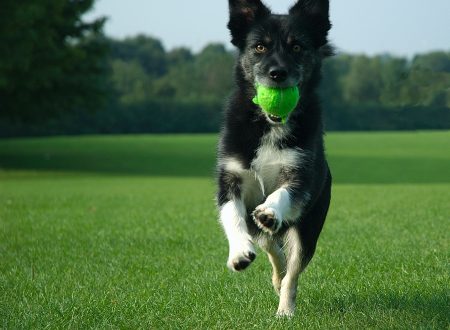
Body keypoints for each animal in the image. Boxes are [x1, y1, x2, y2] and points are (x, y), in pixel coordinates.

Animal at [216, 0, 332, 318]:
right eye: (259, 47)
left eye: (297, 47)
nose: (277, 73)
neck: (270, 124)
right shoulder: (230, 176)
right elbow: (231, 215)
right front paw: (239, 252)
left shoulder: (300, 176)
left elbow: (282, 194)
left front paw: (270, 210)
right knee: (272, 247)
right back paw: (274, 275)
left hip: (309, 229)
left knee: (292, 271)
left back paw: (285, 308)